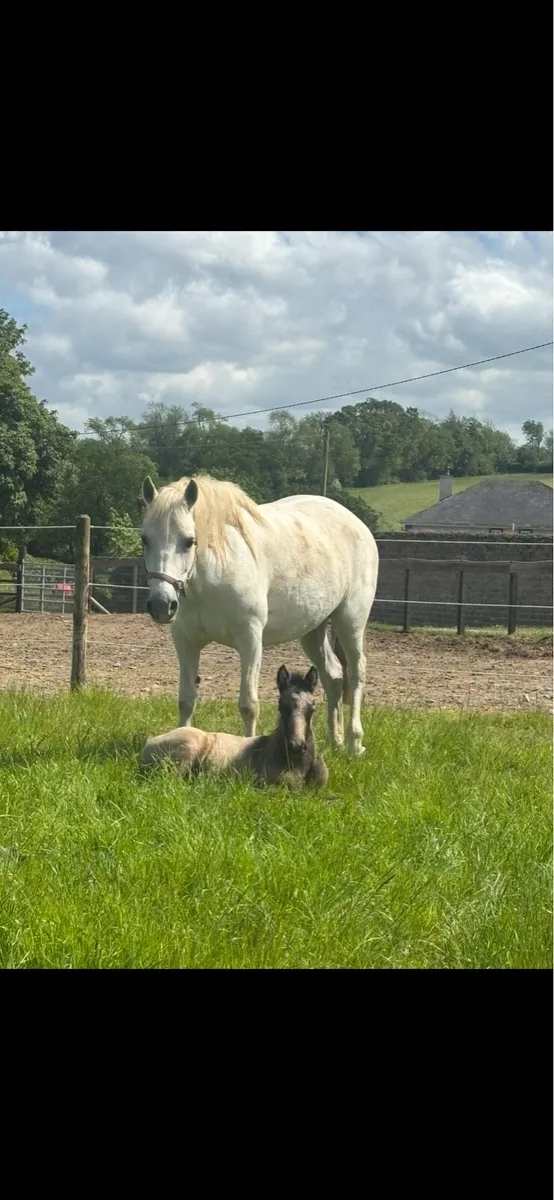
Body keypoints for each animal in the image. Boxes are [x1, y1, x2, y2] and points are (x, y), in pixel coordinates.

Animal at [140, 472, 379, 755]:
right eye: (145, 539)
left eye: (189, 541)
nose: (161, 604)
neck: (216, 572)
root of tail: (358, 524)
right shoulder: (186, 641)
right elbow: (186, 700)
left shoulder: (251, 640)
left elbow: (249, 704)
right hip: (313, 629)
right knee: (333, 677)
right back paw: (336, 741)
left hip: (350, 621)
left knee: (356, 674)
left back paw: (355, 742)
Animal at [141, 664, 329, 789]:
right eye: (281, 705)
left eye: (312, 707)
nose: (296, 746)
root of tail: (147, 745)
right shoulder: (267, 786)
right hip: (187, 750)